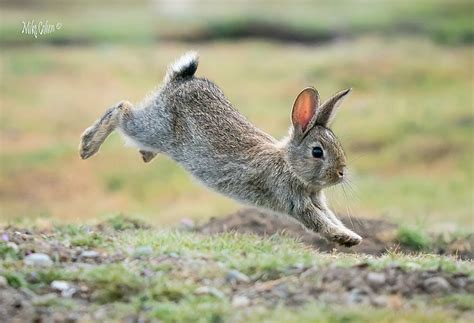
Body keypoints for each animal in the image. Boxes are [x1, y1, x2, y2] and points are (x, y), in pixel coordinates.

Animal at [80, 52, 362, 247]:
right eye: (317, 152)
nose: (341, 173)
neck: (288, 165)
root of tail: (180, 80)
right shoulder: (293, 200)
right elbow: (318, 221)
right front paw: (345, 238)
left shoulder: (317, 200)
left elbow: (331, 216)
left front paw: (351, 236)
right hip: (153, 127)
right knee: (122, 109)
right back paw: (87, 145)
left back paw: (144, 154)